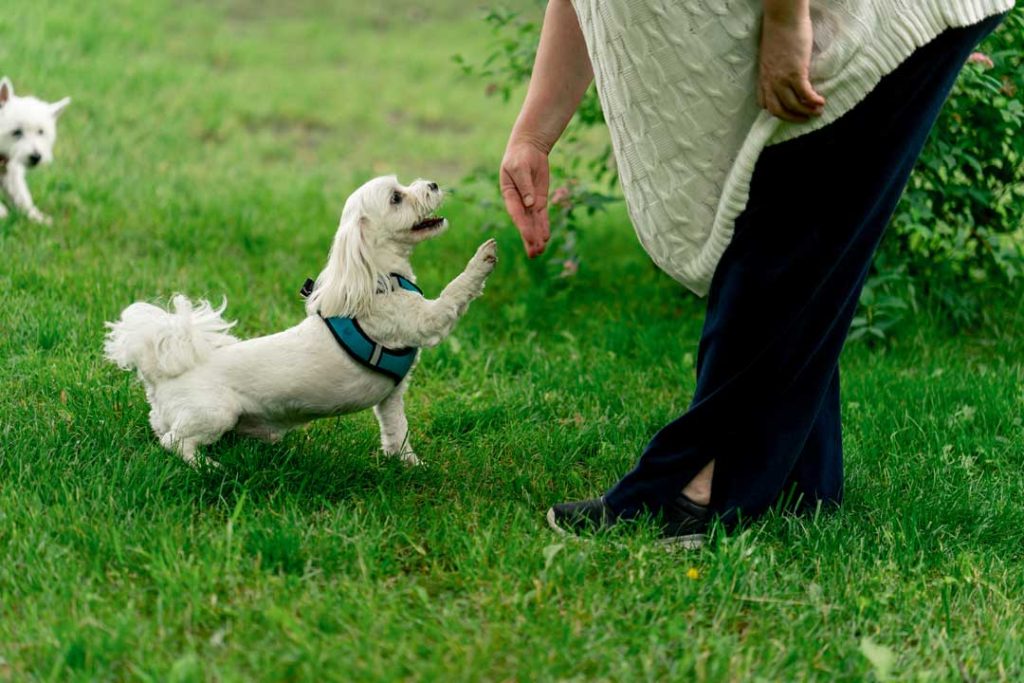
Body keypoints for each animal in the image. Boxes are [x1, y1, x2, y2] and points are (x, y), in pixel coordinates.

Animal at [0, 76, 71, 224]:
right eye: (16, 132)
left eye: (41, 132)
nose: (36, 157)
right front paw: (1, 211)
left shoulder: (11, 171)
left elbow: (22, 196)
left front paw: (37, 218)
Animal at [104, 174, 499, 466]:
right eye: (396, 198)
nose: (432, 184)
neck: (378, 277)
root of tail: (159, 376)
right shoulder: (420, 320)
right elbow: (454, 294)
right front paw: (482, 259)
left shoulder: (390, 399)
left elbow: (396, 431)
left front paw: (408, 464)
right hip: (213, 413)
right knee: (174, 443)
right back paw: (206, 466)